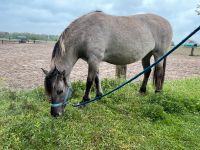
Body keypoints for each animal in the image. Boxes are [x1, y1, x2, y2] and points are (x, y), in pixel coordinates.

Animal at [41, 11, 172, 117]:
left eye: (60, 91)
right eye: (48, 91)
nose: (55, 114)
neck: (85, 32)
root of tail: (167, 22)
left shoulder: (94, 59)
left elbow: (89, 81)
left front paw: (84, 101)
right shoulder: (94, 61)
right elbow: (97, 78)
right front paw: (99, 96)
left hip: (159, 54)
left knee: (159, 73)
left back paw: (158, 93)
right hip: (146, 55)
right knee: (147, 71)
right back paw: (142, 91)